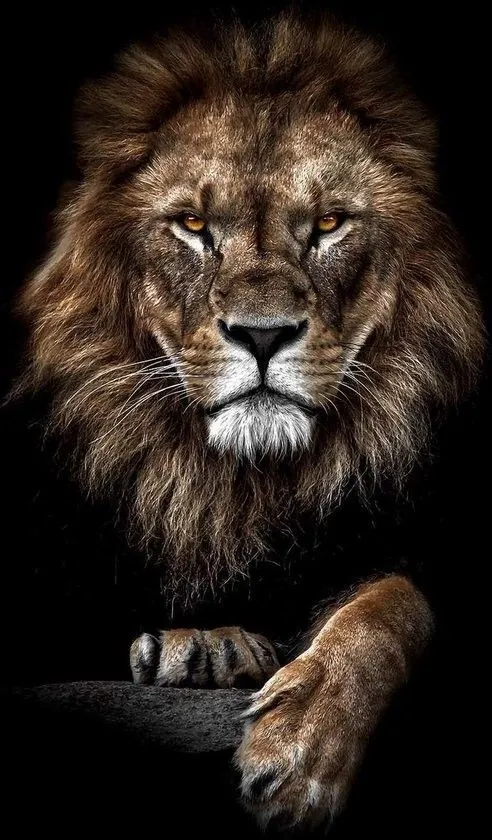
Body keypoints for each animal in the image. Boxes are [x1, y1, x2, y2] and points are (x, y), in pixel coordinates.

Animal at [16, 9, 484, 831]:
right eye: (193, 225)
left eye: (328, 223)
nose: (263, 336)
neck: (242, 484)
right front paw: (208, 645)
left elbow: (391, 606)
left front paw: (301, 749)